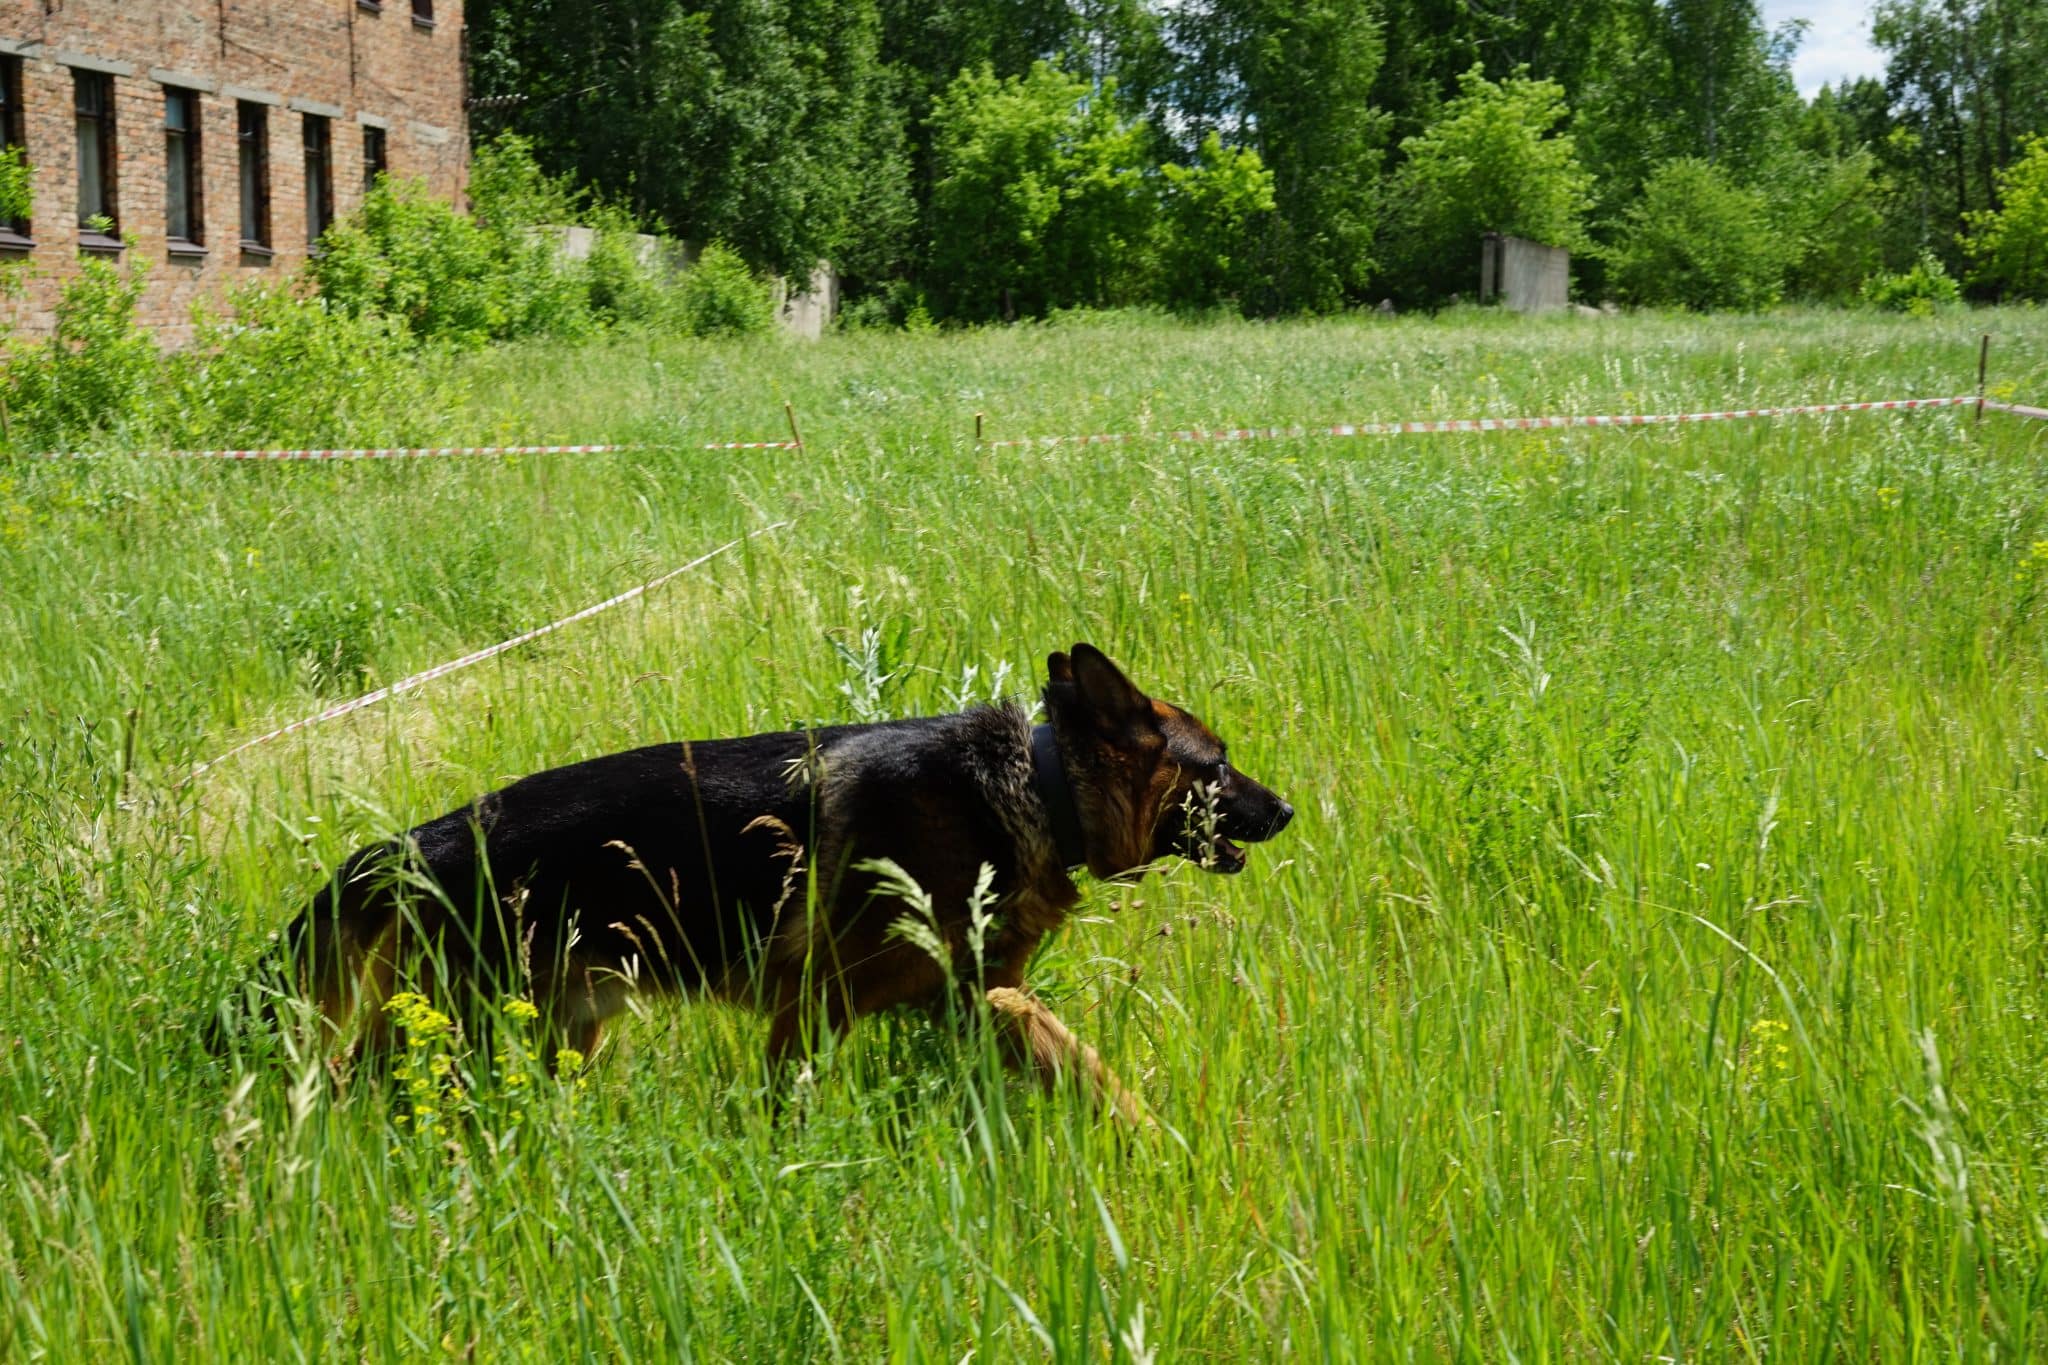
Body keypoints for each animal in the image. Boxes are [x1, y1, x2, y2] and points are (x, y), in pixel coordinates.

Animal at [216, 642, 1286, 1121]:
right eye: (1220, 765)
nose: (1288, 811)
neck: (1040, 784)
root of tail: (418, 840)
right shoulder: (811, 1008)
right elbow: (786, 1098)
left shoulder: (983, 995)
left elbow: (1083, 1060)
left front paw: (1147, 1134)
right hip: (463, 1020)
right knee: (349, 1075)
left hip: (552, 1024)